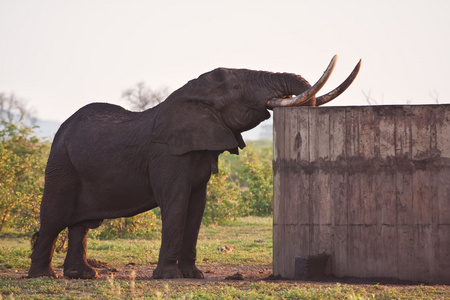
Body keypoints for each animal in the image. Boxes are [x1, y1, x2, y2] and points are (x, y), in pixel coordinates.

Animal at [27, 55, 358, 278]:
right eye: (237, 86)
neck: (191, 95)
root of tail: (60, 131)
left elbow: (197, 207)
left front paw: (193, 275)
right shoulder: (167, 155)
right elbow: (176, 203)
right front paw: (168, 277)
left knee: (81, 224)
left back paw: (82, 275)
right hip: (61, 166)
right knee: (54, 218)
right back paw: (44, 276)